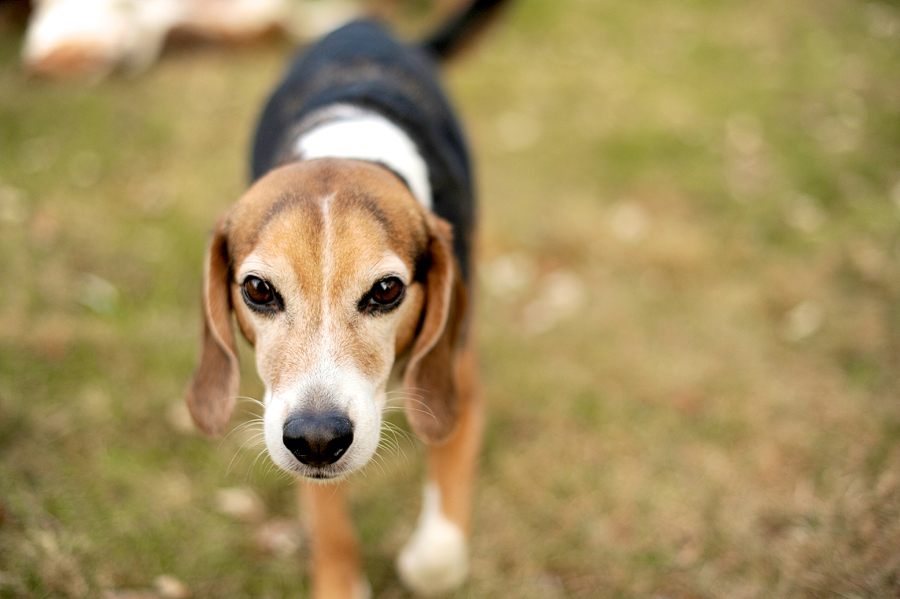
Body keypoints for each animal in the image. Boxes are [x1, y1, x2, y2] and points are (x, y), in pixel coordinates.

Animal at [184, 2, 510, 596]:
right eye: (258, 289)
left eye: (386, 290)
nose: (317, 439)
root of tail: (367, 25)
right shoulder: (284, 421)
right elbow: (328, 521)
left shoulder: (460, 386)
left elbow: (438, 555)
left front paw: (424, 562)